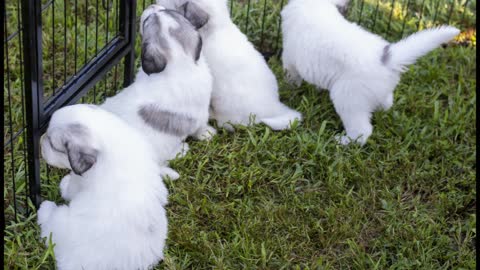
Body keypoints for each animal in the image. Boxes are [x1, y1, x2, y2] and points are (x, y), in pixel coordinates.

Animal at [37, 104, 169, 270]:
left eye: (52, 145)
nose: (41, 140)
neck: (109, 143)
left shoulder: (80, 180)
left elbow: (72, 185)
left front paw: (64, 185)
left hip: (61, 222)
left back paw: (45, 208)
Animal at [282, 0, 462, 144]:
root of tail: (388, 59)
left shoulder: (289, 57)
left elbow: (292, 75)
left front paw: (290, 89)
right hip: (377, 92)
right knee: (386, 103)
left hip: (347, 97)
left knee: (362, 131)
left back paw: (344, 141)